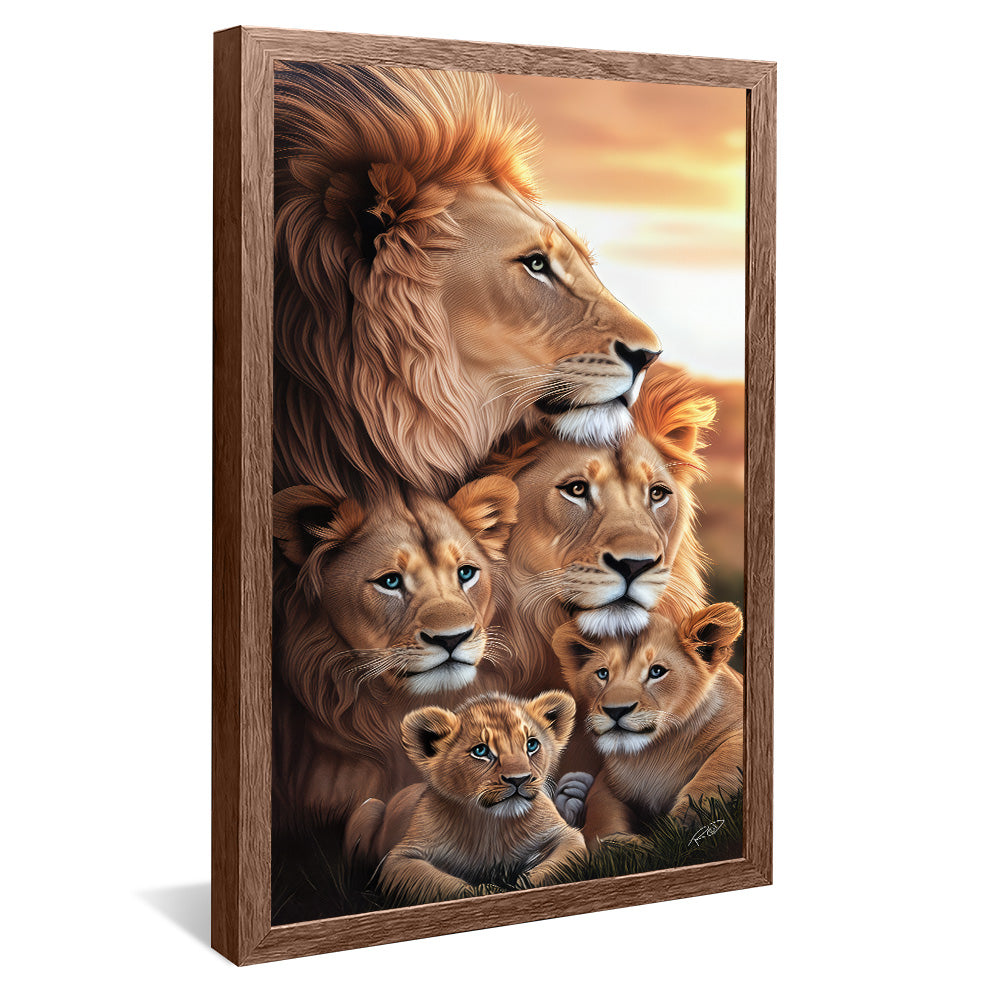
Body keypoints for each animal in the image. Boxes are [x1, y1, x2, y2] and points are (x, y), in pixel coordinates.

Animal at [370, 691, 585, 904]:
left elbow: (551, 870)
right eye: (480, 751)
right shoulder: (401, 858)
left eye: (531, 744)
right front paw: (489, 890)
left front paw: (520, 884)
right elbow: (449, 886)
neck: (492, 825)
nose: (519, 779)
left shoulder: (566, 835)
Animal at [551, 605, 744, 847]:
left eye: (657, 671)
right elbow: (601, 815)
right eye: (603, 673)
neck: (654, 754)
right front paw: (621, 845)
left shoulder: (739, 734)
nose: (616, 711)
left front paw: (678, 830)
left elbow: (714, 776)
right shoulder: (608, 782)